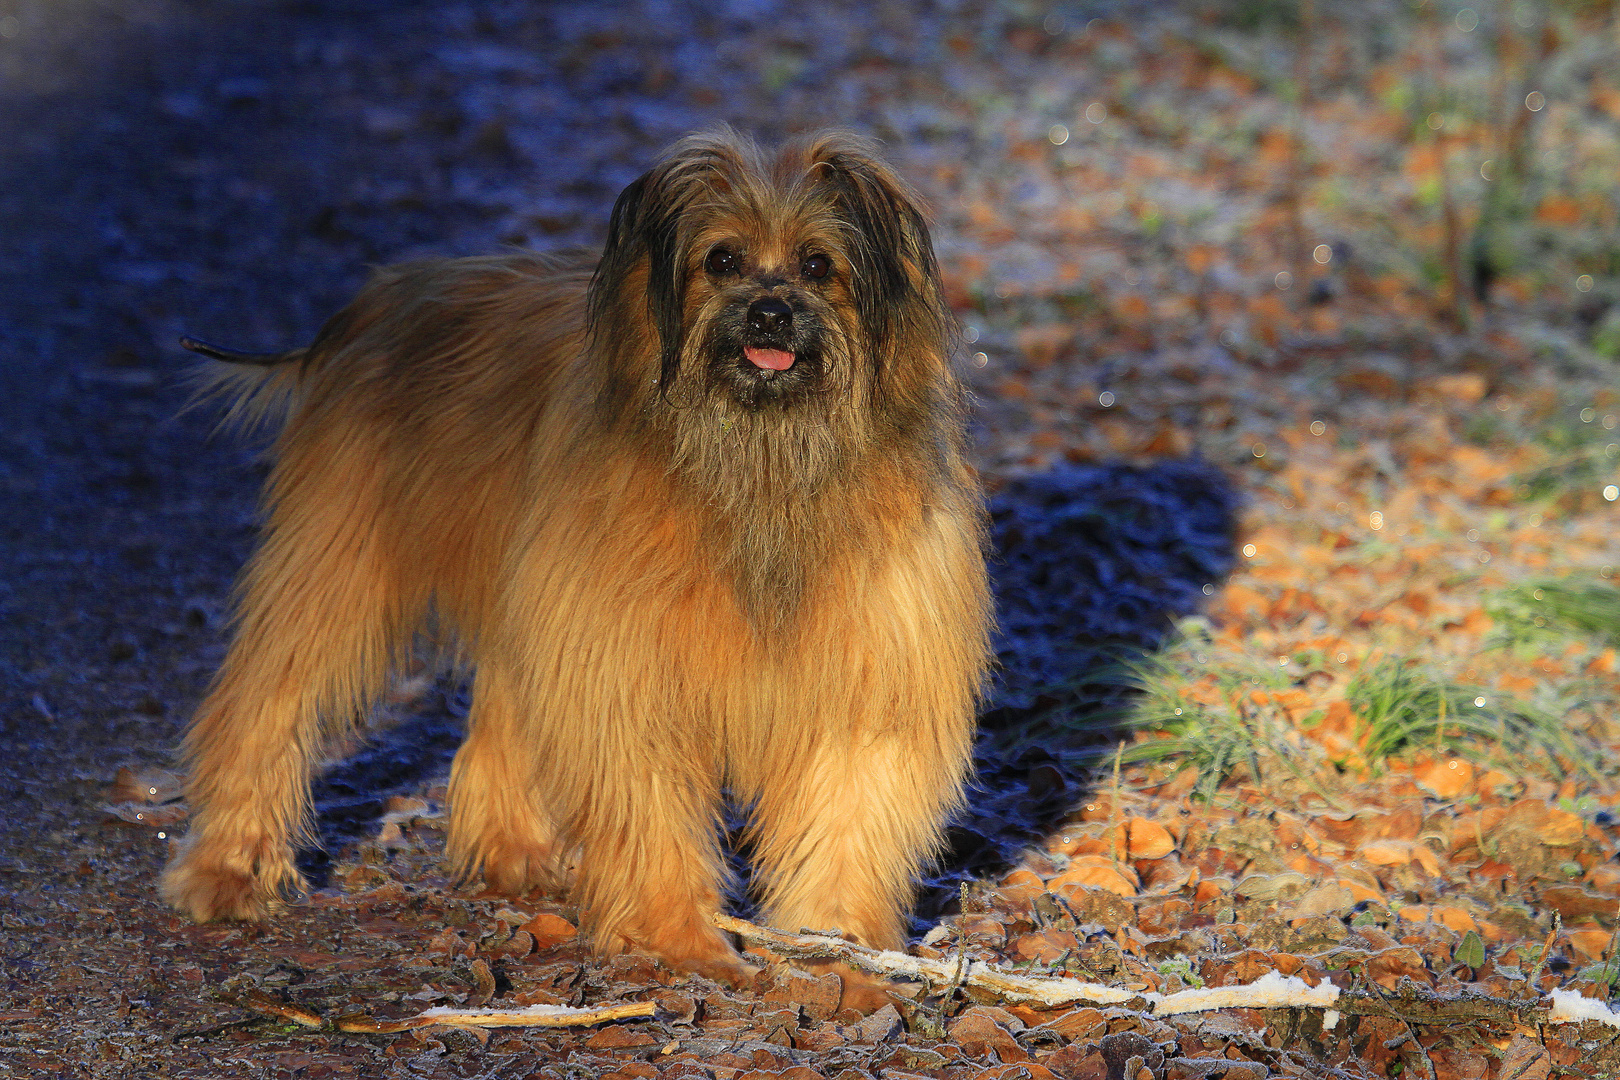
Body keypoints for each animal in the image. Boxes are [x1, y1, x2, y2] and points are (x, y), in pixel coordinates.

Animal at [167, 128, 997, 990]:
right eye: (722, 259)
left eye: (816, 265)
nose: (770, 312)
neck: (760, 463)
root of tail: (372, 303)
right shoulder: (626, 665)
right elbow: (650, 808)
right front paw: (681, 941)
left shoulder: (869, 671)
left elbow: (851, 808)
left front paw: (839, 943)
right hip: (339, 565)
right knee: (264, 704)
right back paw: (228, 869)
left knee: (502, 711)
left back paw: (515, 852)